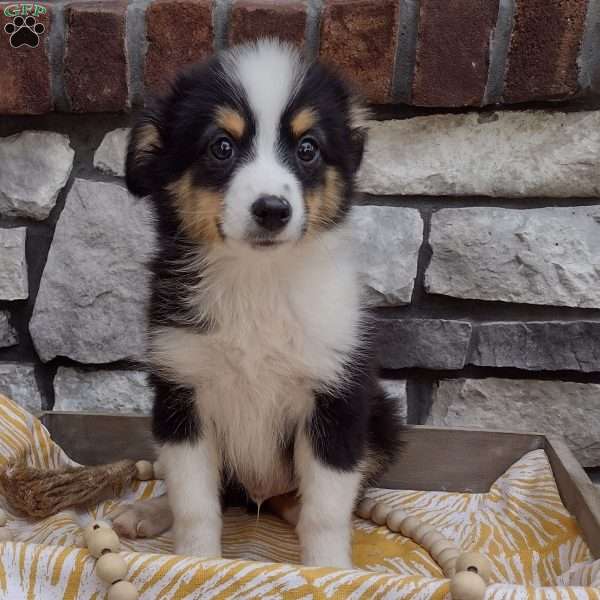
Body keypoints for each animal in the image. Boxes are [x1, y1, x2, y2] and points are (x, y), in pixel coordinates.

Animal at [114, 37, 400, 568]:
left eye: (308, 149)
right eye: (221, 147)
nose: (272, 210)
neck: (257, 280)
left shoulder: (335, 400)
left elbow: (326, 511)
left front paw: (330, 571)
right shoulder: (182, 395)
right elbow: (195, 504)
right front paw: (198, 563)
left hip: (380, 420)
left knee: (312, 497)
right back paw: (147, 512)